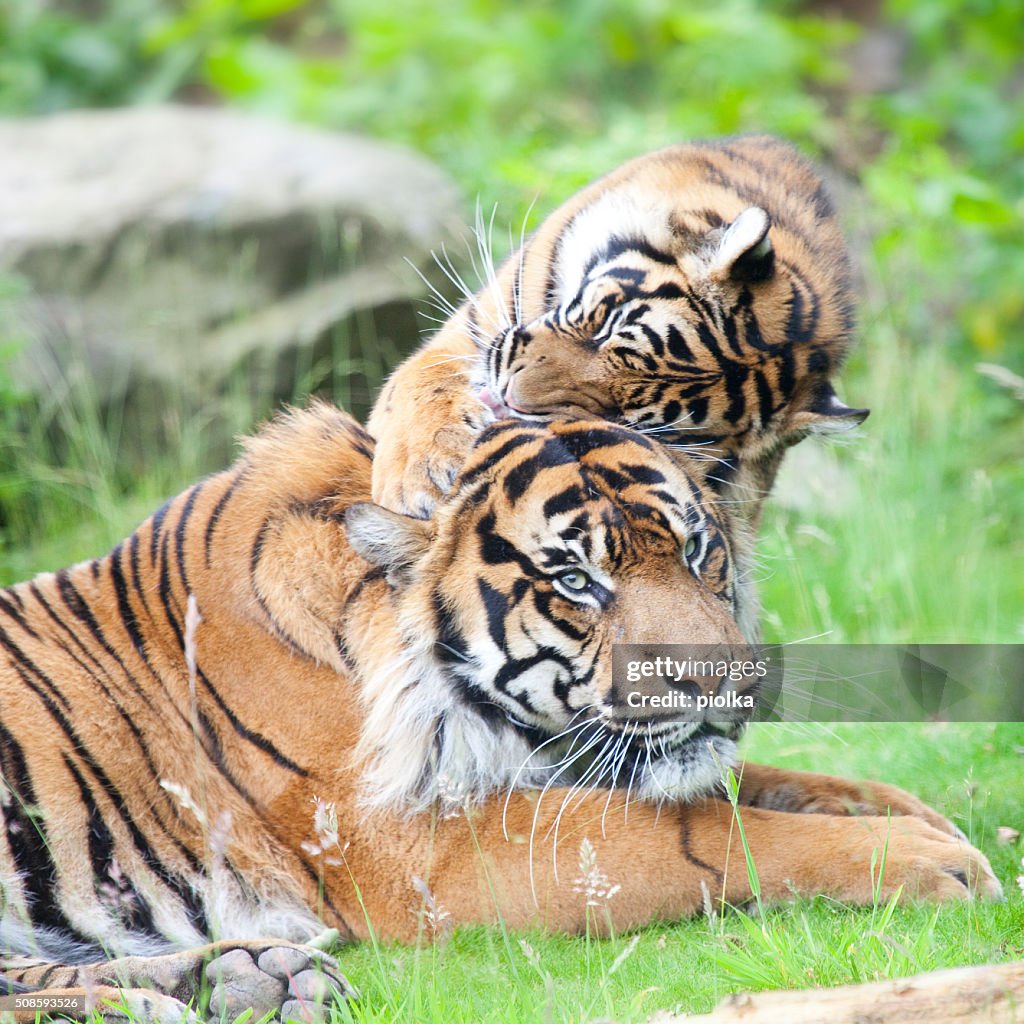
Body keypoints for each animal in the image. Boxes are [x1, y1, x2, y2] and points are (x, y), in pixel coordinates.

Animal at [0, 403, 999, 1019]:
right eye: (576, 581)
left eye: (695, 550)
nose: (722, 683)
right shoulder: (433, 857)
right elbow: (708, 832)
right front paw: (931, 859)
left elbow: (770, 783)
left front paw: (925, 815)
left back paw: (252, 981)